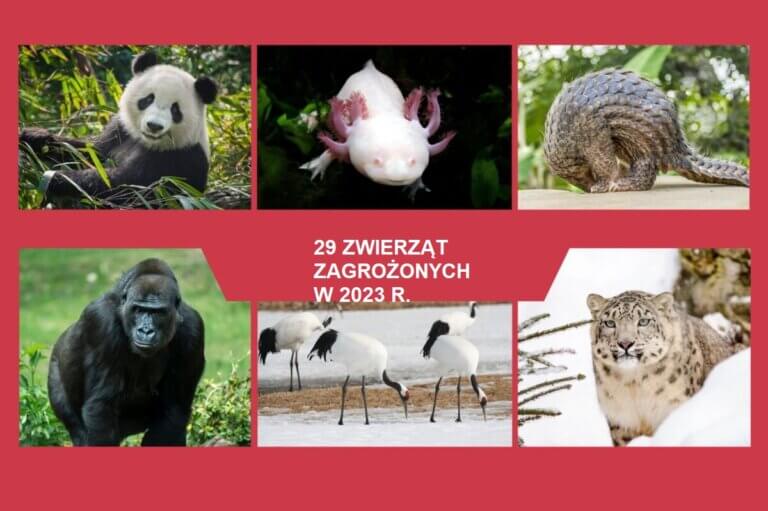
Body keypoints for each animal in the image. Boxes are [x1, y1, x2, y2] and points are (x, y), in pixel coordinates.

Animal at [20, 51, 218, 204]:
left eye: (175, 110)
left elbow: (125, 185)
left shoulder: (179, 159)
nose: (154, 126)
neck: (147, 142)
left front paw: (55, 177)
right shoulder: (121, 131)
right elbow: (89, 152)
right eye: (148, 99)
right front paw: (35, 137)